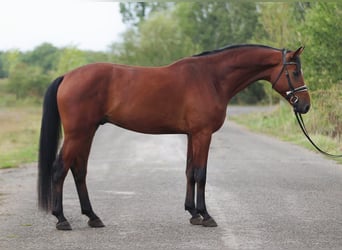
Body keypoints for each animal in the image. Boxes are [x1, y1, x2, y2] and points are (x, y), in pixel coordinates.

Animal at [37, 44, 310, 229]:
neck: (211, 78)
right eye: (295, 72)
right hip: (77, 134)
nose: (305, 105)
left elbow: (189, 171)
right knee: (59, 169)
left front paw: (193, 213)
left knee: (79, 171)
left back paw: (93, 217)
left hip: (87, 133)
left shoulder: (192, 135)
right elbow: (201, 173)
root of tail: (67, 76)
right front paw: (206, 215)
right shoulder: (202, 134)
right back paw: (61, 219)